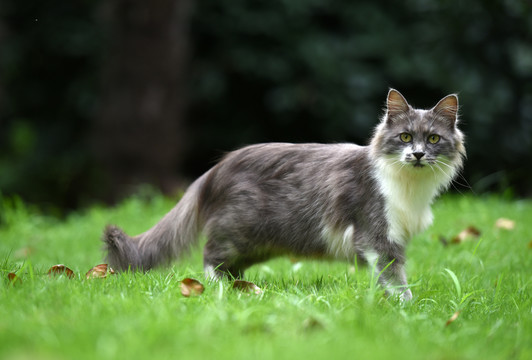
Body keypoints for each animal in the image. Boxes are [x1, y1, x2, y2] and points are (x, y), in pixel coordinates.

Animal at [102, 88, 464, 300]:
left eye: (433, 139)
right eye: (405, 137)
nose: (417, 154)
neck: (411, 187)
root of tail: (214, 171)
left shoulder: (393, 238)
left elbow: (390, 275)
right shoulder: (377, 234)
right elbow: (394, 276)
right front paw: (405, 306)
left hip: (259, 242)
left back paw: (240, 287)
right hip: (240, 231)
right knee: (210, 256)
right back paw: (220, 289)